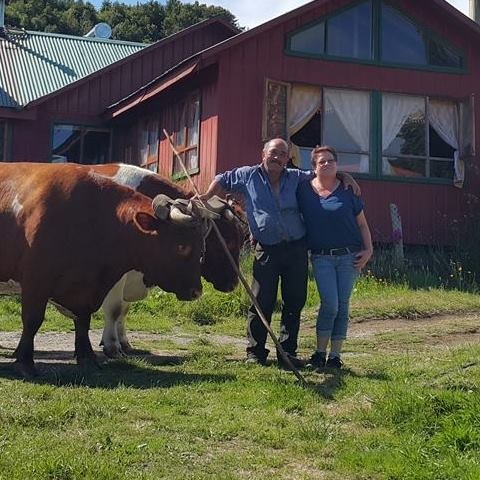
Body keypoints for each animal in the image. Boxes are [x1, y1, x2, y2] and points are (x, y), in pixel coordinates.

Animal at [0, 163, 204, 376]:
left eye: (201, 244)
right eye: (182, 246)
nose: (197, 291)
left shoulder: (85, 288)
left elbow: (83, 322)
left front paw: (87, 358)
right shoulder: (36, 280)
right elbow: (32, 320)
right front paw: (25, 362)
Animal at [86, 163, 248, 358]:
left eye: (242, 239)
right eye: (228, 240)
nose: (233, 284)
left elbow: (124, 310)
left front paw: (124, 343)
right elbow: (115, 309)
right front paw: (112, 346)